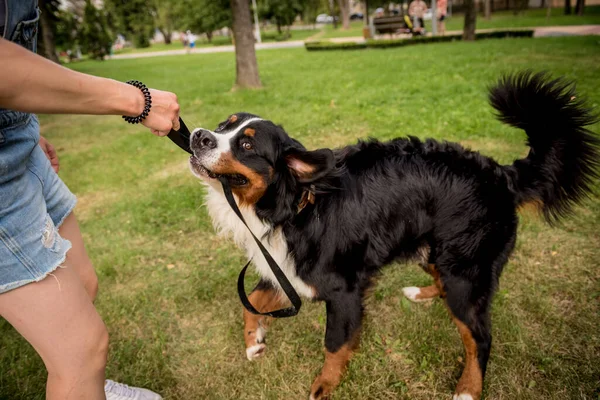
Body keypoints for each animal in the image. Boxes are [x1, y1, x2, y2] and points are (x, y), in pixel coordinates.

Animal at [189, 72, 600, 400]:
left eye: (246, 145)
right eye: (223, 125)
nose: (198, 136)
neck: (296, 205)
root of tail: (501, 174)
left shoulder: (342, 290)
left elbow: (334, 345)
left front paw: (324, 386)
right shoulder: (286, 269)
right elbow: (251, 301)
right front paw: (254, 342)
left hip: (465, 273)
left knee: (479, 338)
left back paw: (468, 388)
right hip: (436, 253)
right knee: (443, 287)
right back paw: (421, 294)